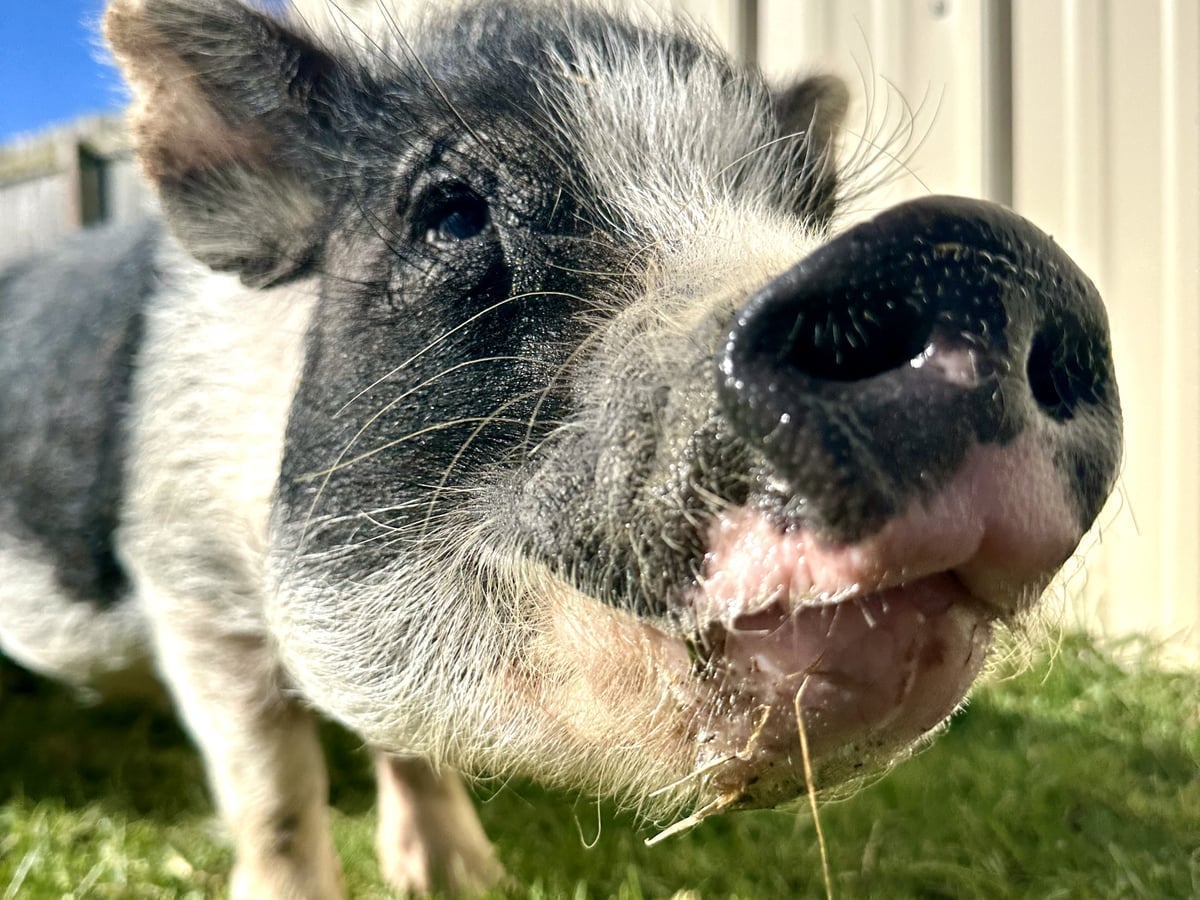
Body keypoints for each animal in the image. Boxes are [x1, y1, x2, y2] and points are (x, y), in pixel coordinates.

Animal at [0, 0, 1122, 896]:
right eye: (451, 215)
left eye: (807, 210)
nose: (973, 260)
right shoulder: (188, 586)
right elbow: (275, 798)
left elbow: (406, 746)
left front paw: (465, 882)